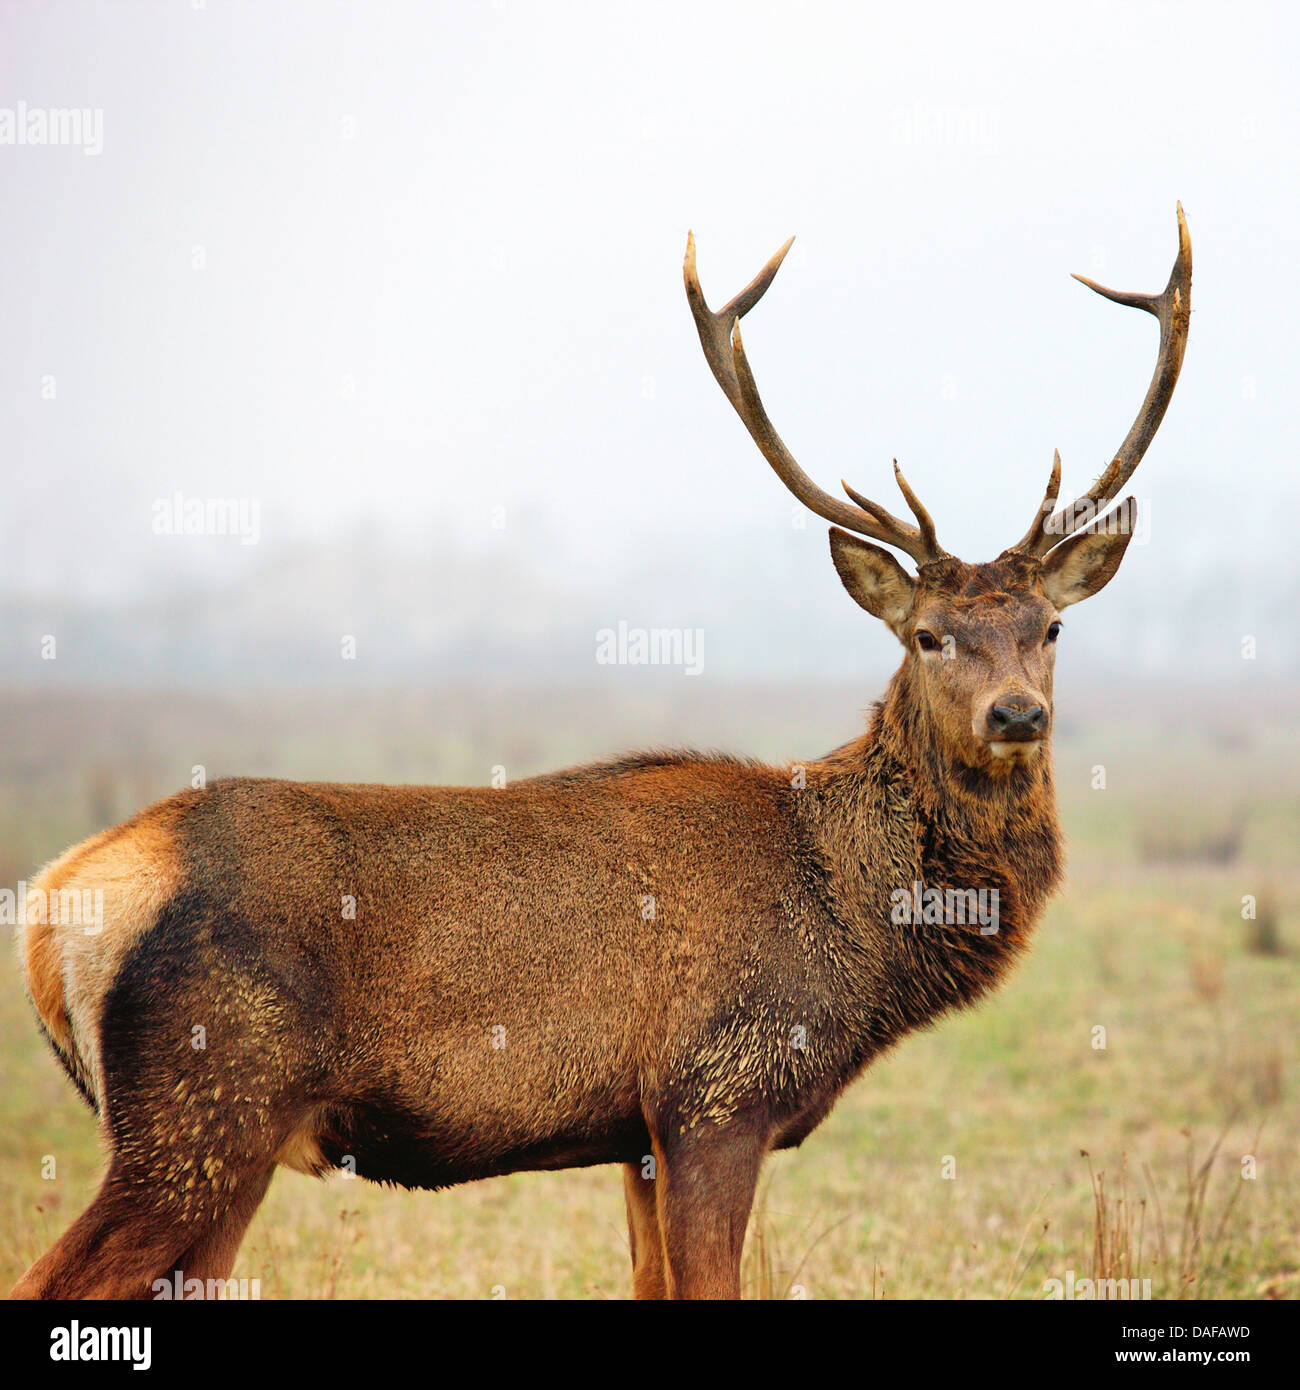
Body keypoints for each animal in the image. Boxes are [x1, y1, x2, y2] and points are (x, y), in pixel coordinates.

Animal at [12, 205, 1190, 1301]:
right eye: (928, 635)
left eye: (1052, 627)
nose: (1016, 716)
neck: (856, 935)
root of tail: (53, 907)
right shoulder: (712, 1092)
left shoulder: (635, 1136)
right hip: (202, 1104)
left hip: (217, 1141)